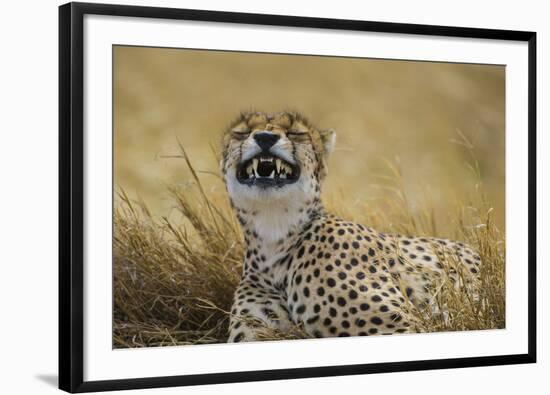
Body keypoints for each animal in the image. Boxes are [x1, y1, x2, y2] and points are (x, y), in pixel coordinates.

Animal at [221, 111, 484, 344]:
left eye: (296, 132)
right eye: (242, 132)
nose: (265, 137)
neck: (274, 235)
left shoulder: (403, 327)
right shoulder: (257, 334)